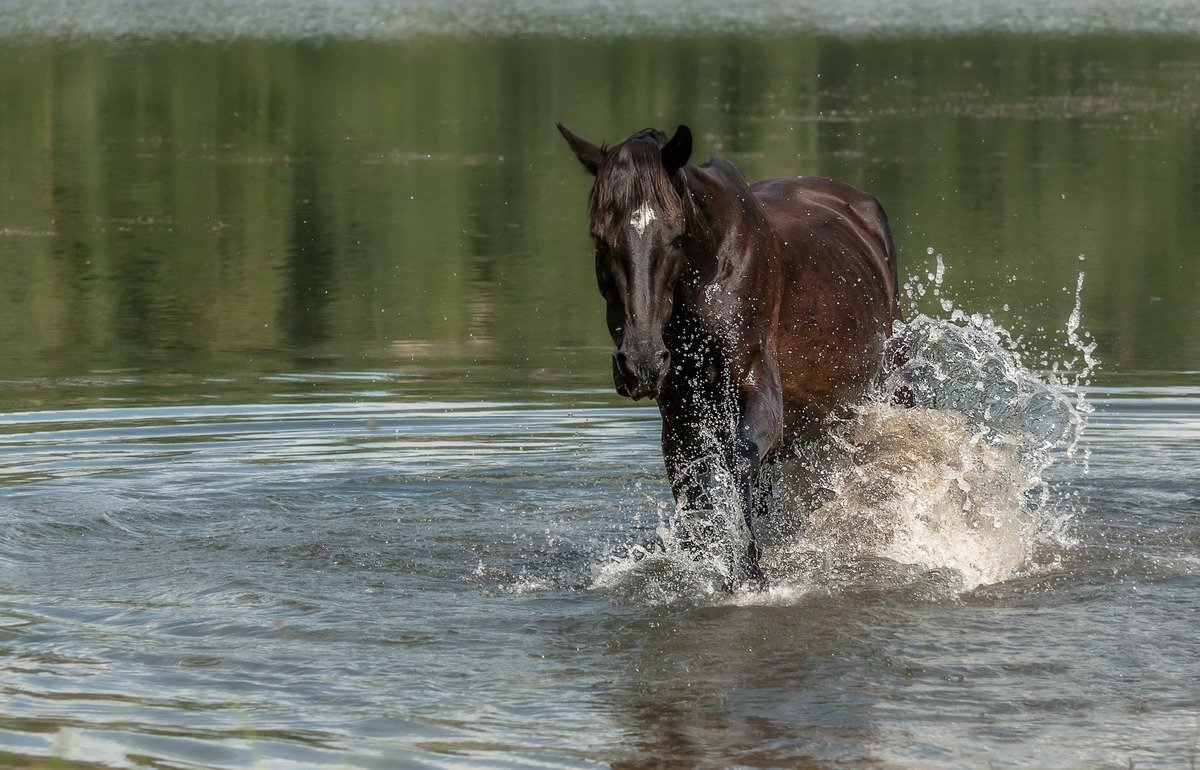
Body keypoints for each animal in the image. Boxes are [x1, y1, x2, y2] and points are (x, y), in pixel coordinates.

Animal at [556, 122, 902, 585]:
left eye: (675, 236)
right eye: (600, 239)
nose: (642, 363)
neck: (707, 281)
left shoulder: (760, 393)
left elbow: (739, 463)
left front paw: (749, 570)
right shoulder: (680, 418)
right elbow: (693, 488)